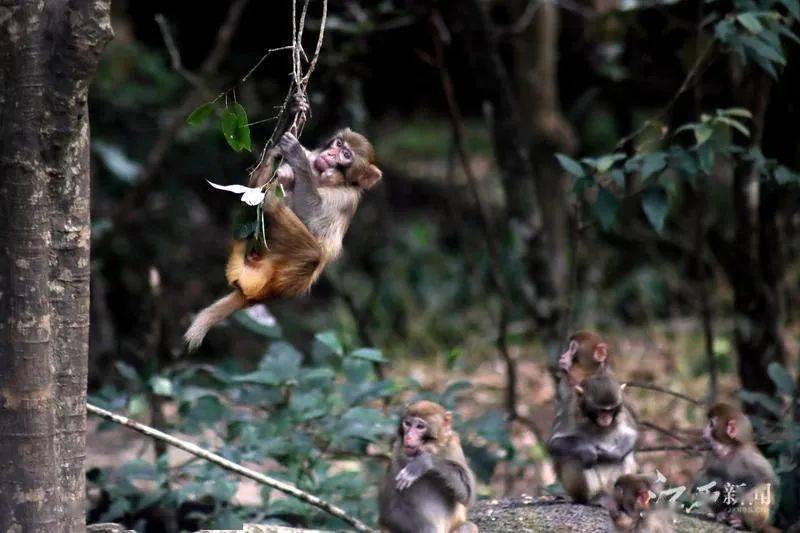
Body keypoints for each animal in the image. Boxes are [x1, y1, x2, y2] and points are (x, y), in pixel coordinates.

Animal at [184, 124, 382, 350]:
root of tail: (264, 294)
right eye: (339, 144)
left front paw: (296, 156)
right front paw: (275, 154)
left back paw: (271, 200)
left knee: (311, 251)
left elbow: (313, 218)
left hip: (290, 278)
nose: (331, 154)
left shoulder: (345, 197)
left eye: (346, 155)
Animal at [378, 402, 478, 532]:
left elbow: (468, 495)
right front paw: (428, 528)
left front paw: (423, 462)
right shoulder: (396, 453)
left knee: (468, 526)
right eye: (407, 424)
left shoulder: (453, 446)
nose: (409, 436)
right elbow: (389, 510)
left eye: (420, 426)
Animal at [544, 370, 636, 502]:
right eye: (601, 410)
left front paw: (613, 455)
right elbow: (555, 443)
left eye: (610, 410)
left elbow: (631, 435)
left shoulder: (622, 414)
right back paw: (593, 498)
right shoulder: (570, 413)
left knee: (626, 457)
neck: (593, 422)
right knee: (575, 458)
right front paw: (588, 450)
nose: (606, 419)